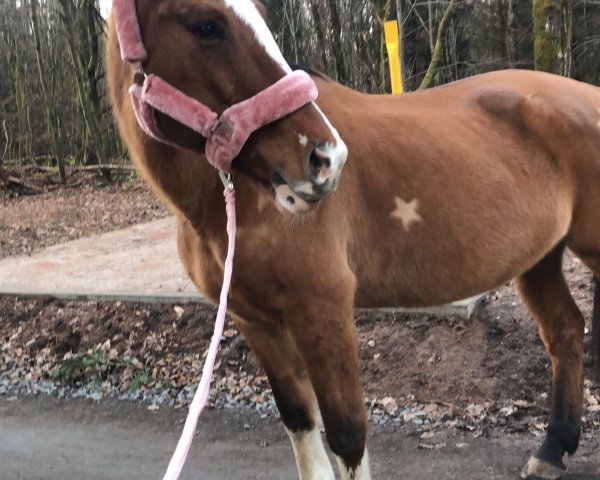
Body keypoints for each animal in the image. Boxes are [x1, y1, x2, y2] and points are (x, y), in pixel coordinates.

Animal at [105, 1, 596, 478]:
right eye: (206, 26)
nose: (326, 158)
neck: (235, 205)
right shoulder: (255, 321)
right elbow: (299, 421)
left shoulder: (323, 311)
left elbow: (347, 433)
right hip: (538, 259)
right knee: (564, 331)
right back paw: (552, 450)